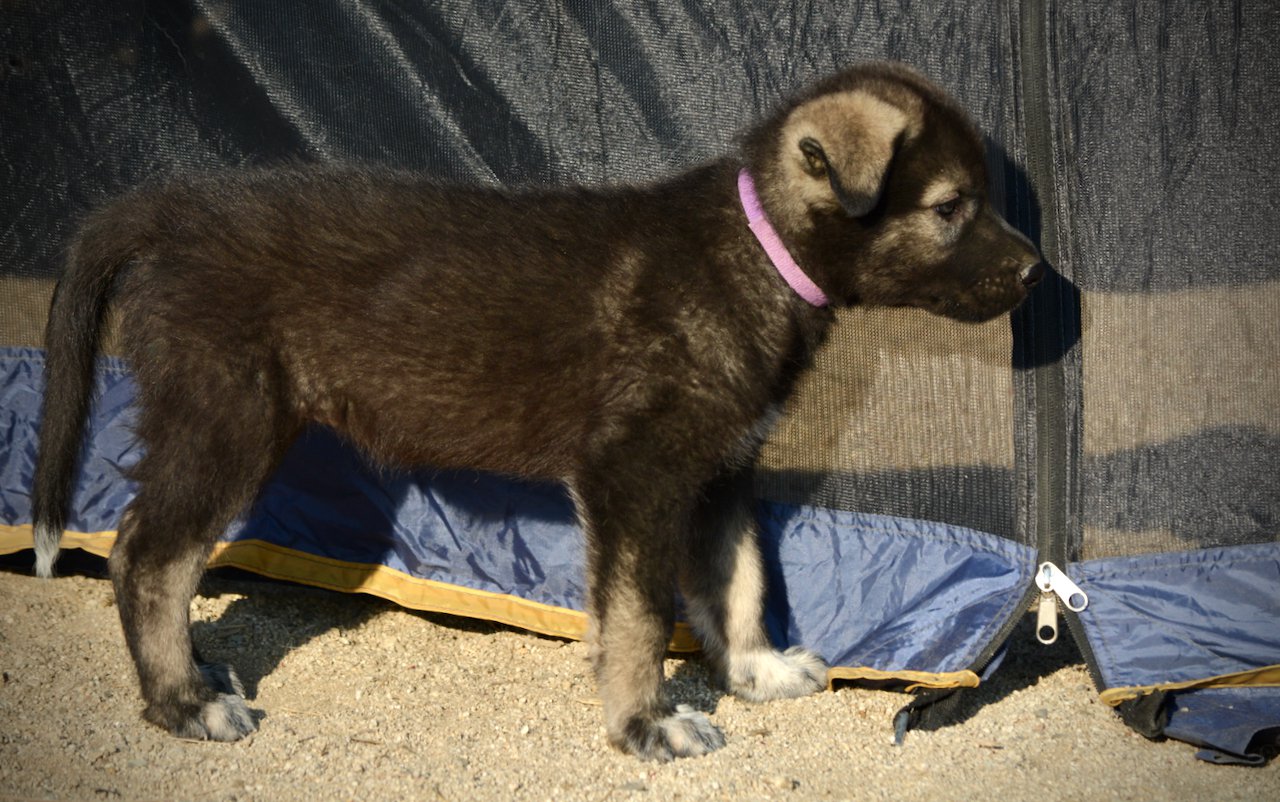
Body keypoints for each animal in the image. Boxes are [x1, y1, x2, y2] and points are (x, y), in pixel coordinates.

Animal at [30, 61, 1039, 757]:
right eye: (951, 207)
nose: (1037, 274)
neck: (755, 251)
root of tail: (174, 211)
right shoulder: (634, 472)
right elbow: (638, 616)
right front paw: (647, 725)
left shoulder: (718, 468)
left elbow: (740, 580)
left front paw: (755, 671)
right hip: (226, 415)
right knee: (148, 557)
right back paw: (182, 703)